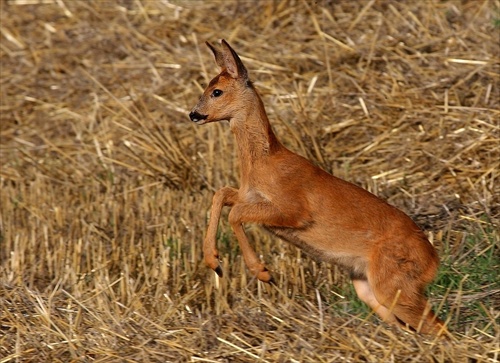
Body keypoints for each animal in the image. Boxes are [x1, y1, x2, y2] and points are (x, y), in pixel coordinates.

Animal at [189, 39, 448, 338]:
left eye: (216, 91)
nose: (194, 114)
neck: (265, 163)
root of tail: (433, 261)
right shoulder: (247, 193)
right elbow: (221, 194)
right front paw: (213, 262)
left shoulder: (295, 209)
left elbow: (236, 213)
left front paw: (263, 272)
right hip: (370, 287)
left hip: (395, 282)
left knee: (438, 327)